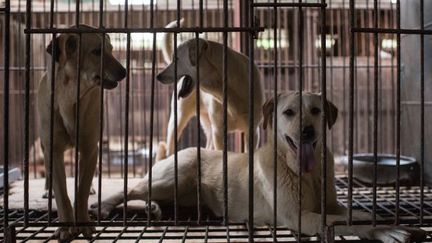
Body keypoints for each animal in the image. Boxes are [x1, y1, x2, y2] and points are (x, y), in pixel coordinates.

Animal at [37, 25, 125, 240]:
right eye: (97, 52)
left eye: (111, 50)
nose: (125, 72)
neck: (71, 98)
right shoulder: (52, 150)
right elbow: (62, 194)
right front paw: (66, 227)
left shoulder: (89, 149)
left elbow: (82, 189)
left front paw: (83, 223)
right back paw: (47, 190)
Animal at [91, 92, 426, 242]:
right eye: (289, 112)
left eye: (316, 111)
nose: (307, 132)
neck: (306, 175)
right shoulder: (300, 216)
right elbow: (342, 222)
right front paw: (387, 229)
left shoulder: (330, 204)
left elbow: (352, 213)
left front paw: (385, 224)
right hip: (173, 176)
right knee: (130, 189)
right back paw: (103, 206)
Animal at [155, 19, 264, 159]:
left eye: (177, 59)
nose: (158, 76)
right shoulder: (218, 132)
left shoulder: (253, 131)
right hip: (177, 120)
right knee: (170, 148)